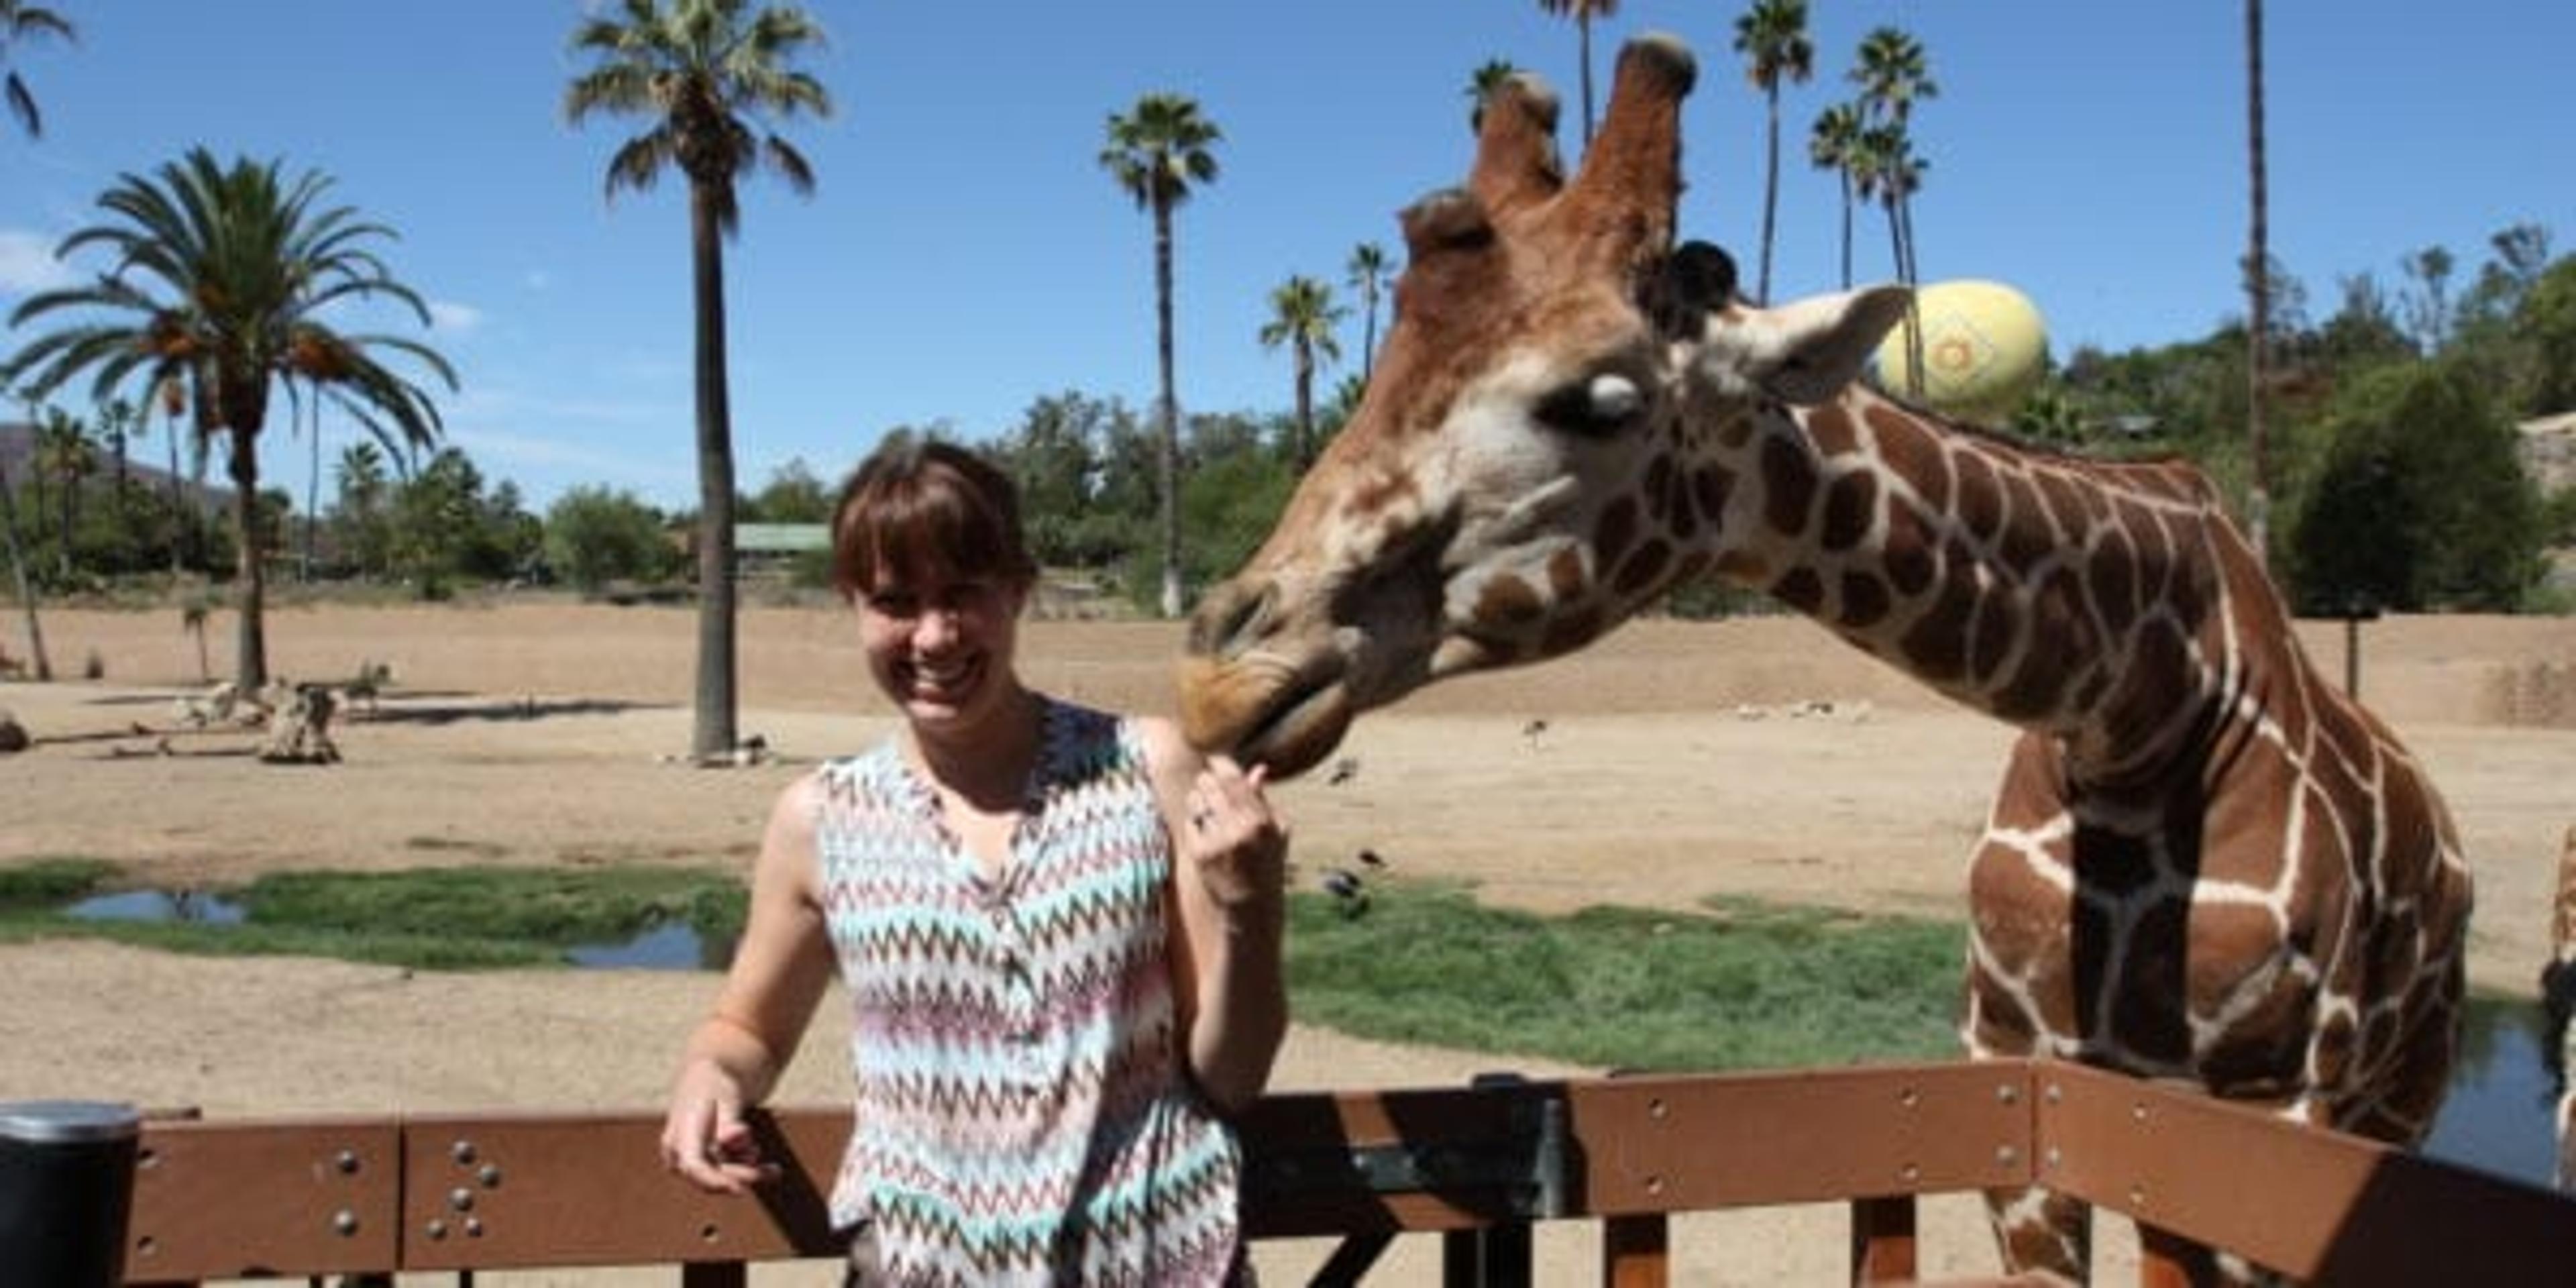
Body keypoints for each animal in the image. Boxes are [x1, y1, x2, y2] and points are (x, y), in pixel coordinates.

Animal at [1175, 35, 2473, 1283]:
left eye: (1597, 401)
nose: (1221, 673)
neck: (2137, 713)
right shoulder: (2024, 1076)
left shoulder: (2270, 1111)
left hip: (2399, 1095)